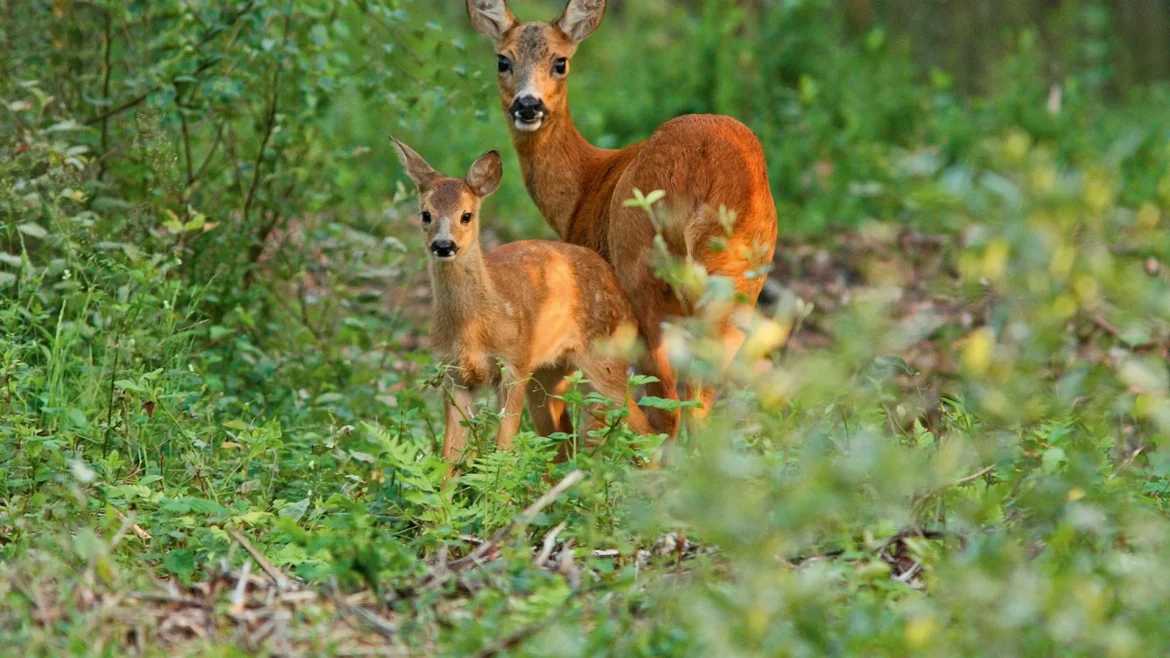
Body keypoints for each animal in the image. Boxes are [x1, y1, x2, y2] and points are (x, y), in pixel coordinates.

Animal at [465, 1, 776, 440]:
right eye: (503, 60)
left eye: (560, 62)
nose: (528, 105)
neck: (584, 186)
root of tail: (702, 170)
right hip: (740, 279)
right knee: (698, 406)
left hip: (639, 273)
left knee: (667, 409)